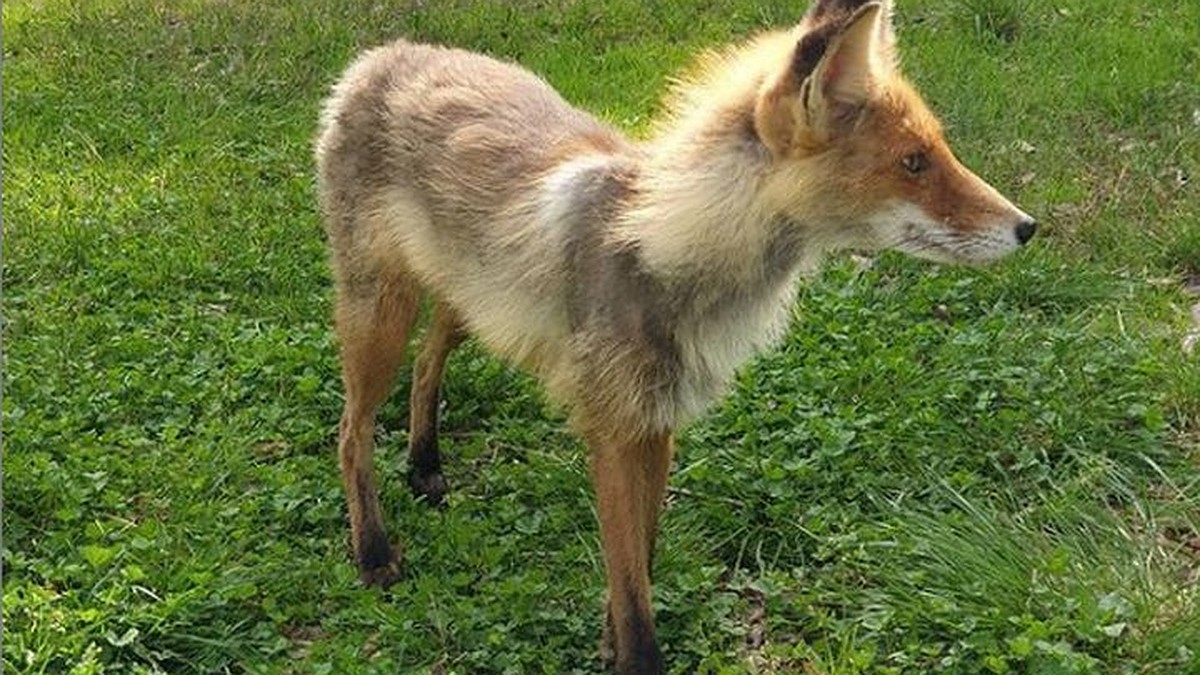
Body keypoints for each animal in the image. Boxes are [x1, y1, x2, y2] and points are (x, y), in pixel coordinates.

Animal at [316, 1, 1032, 667]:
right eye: (912, 163)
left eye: (938, 151)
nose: (1027, 227)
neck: (663, 249)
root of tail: (381, 56)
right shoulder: (610, 430)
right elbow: (633, 590)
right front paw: (631, 655)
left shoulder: (658, 422)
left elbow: (642, 560)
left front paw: (608, 643)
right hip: (381, 312)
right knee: (351, 432)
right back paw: (372, 550)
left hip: (470, 303)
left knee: (427, 363)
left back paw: (425, 464)